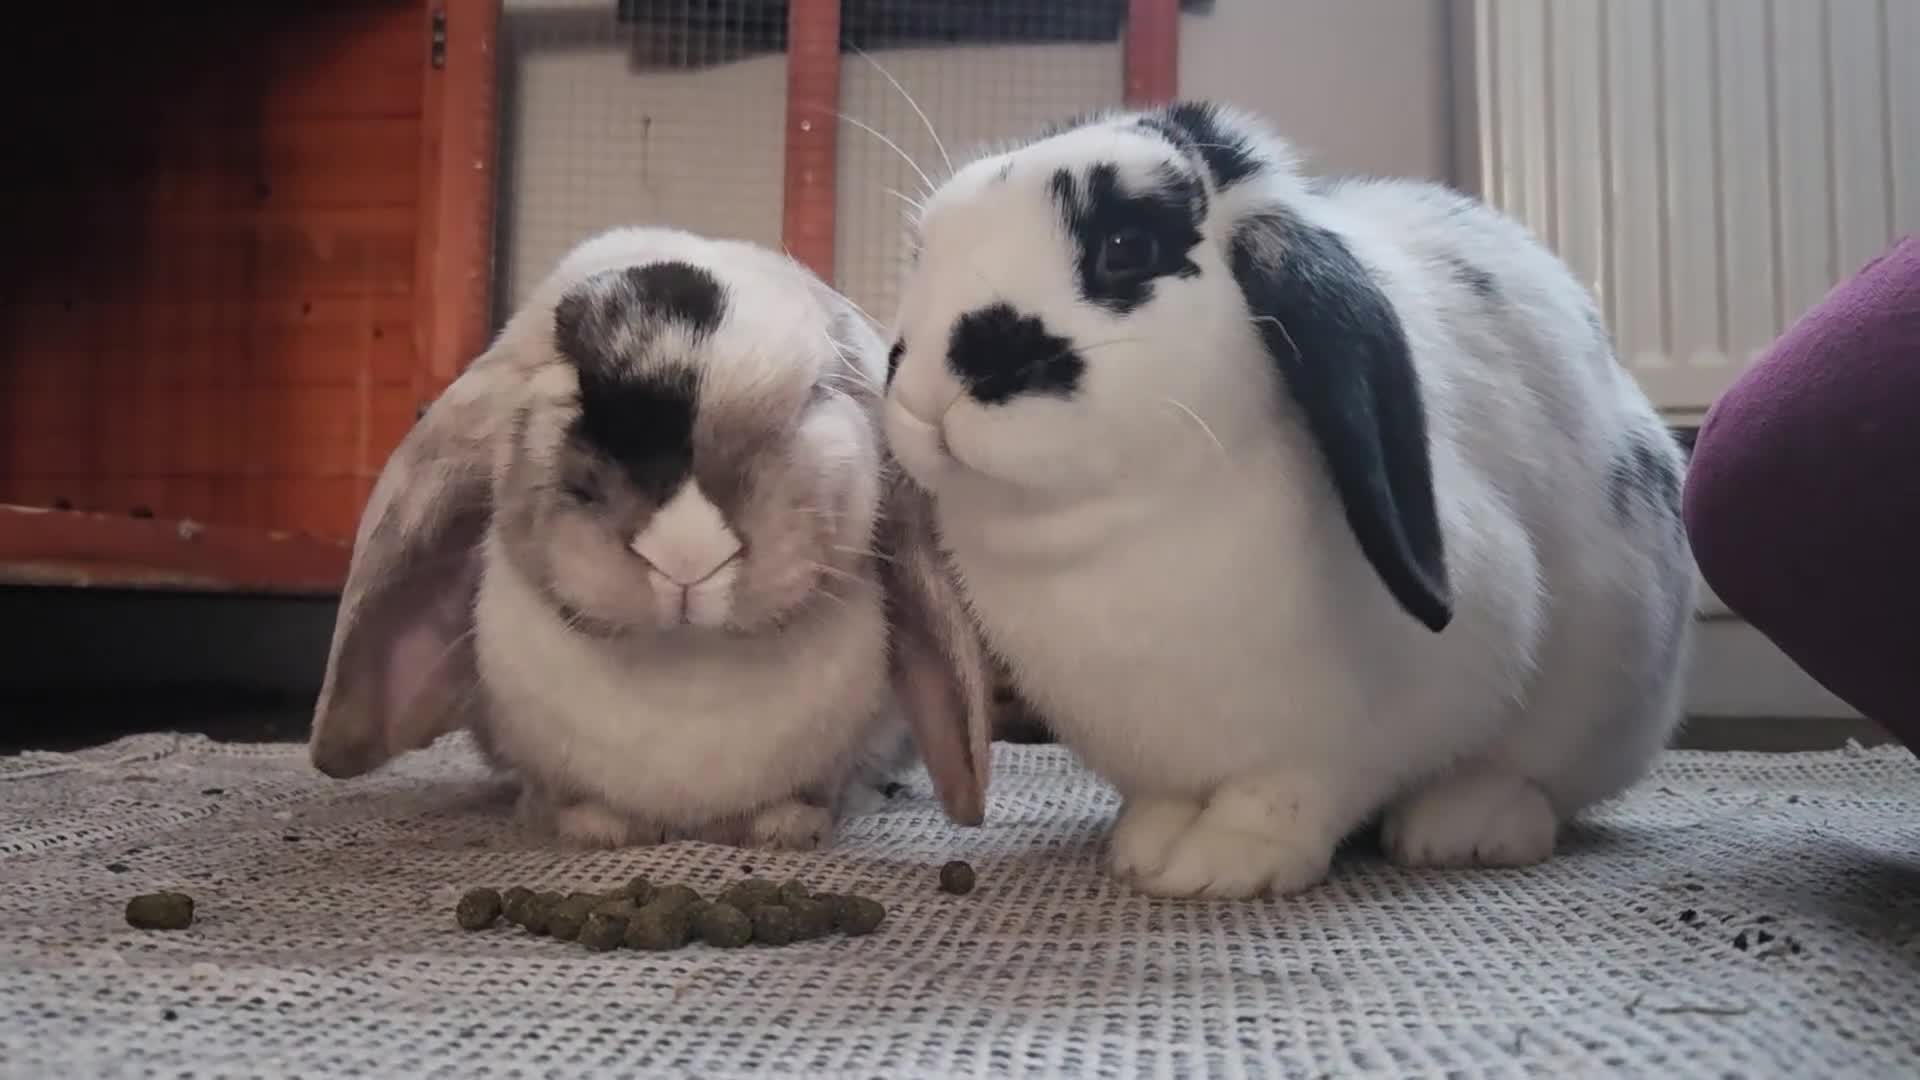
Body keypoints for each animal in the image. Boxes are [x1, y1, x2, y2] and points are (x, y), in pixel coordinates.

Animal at [307, 225, 995, 850]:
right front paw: (585, 827)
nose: (687, 553)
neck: (683, 668)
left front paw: (789, 827)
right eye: (570, 377)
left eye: (816, 394)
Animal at [878, 101, 1697, 897]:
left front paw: (1222, 868)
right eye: (922, 252)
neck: (1098, 532)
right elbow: (1165, 800)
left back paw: (1462, 829)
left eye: (1126, 246)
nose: (931, 386)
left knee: (1536, 779)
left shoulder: (1339, 740)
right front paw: (1143, 854)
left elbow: (1285, 796)